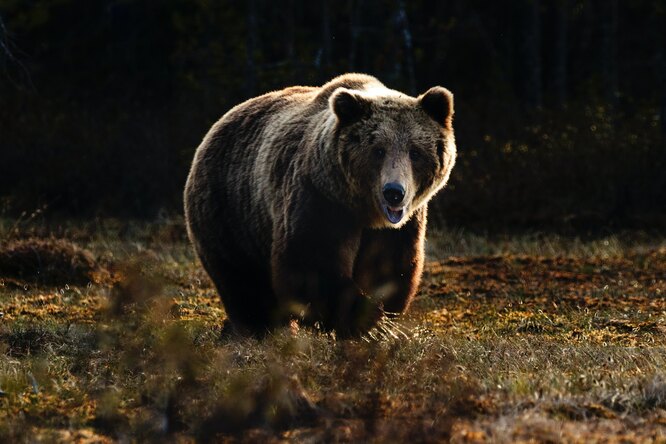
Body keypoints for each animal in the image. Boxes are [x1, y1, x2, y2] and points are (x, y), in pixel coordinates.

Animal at [182, 73, 454, 336]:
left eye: (415, 152)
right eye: (378, 150)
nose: (394, 193)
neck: (363, 210)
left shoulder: (400, 226)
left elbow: (389, 267)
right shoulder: (319, 198)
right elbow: (311, 262)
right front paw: (365, 322)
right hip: (230, 211)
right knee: (243, 279)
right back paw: (259, 328)